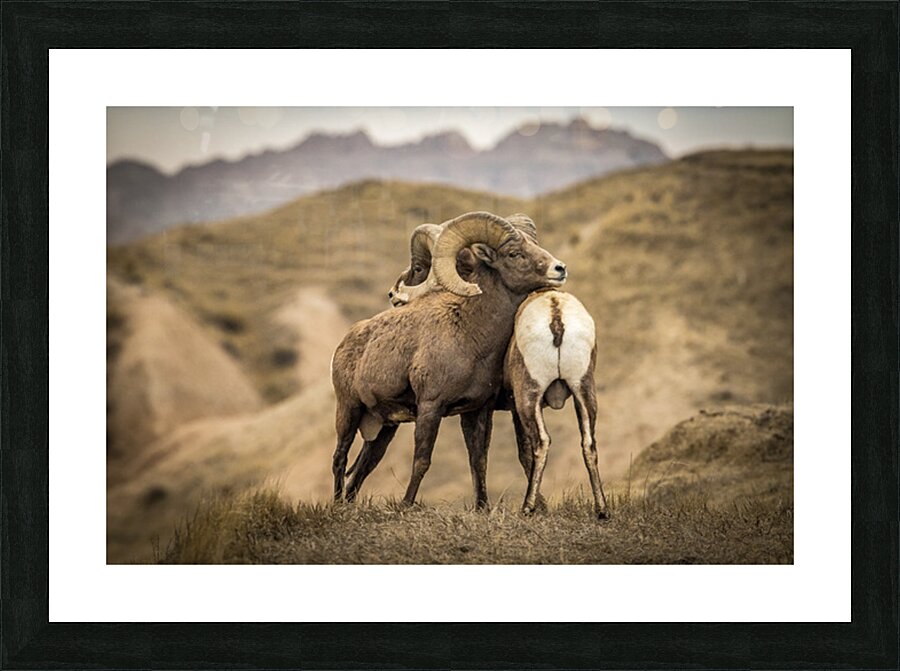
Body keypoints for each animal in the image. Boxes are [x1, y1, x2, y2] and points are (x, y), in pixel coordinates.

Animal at [331, 211, 568, 509]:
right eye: (513, 253)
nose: (559, 269)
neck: (471, 334)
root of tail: (346, 341)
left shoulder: (477, 410)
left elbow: (479, 461)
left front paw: (483, 508)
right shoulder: (431, 407)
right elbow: (422, 461)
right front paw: (405, 505)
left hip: (384, 428)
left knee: (363, 467)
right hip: (348, 411)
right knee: (339, 459)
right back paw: (336, 506)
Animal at [386, 219, 608, 518]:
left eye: (421, 269)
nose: (394, 295)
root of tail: (555, 312)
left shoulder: (493, 407)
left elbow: (510, 454)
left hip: (530, 395)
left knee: (543, 443)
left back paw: (527, 508)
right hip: (583, 390)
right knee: (588, 443)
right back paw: (601, 510)